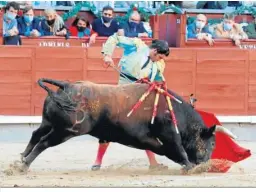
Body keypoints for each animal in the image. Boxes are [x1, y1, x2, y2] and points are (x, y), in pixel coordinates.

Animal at [17, 78, 236, 172]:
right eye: (213, 143)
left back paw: (21, 158)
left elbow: (166, 151)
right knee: (44, 142)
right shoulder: (168, 136)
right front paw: (190, 167)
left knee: (36, 134)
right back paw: (24, 165)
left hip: (49, 122)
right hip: (66, 131)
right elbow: (178, 150)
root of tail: (67, 85)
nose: (206, 163)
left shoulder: (150, 140)